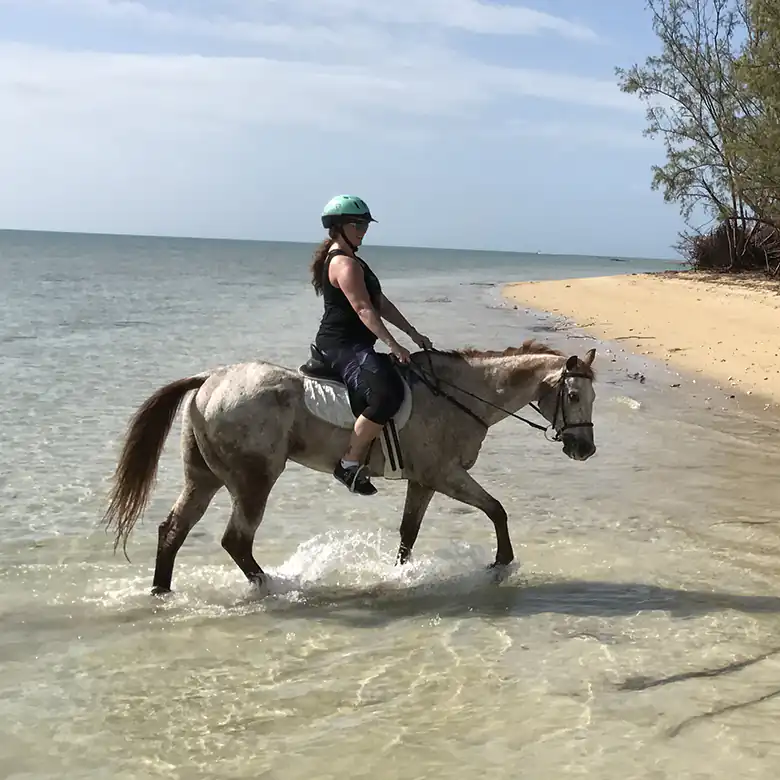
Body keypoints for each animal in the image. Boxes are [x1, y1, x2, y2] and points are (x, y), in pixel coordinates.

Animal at [101, 339, 597, 595]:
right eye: (573, 395)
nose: (585, 449)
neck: (457, 394)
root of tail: (211, 378)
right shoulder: (445, 475)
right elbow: (496, 509)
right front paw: (502, 565)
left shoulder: (423, 481)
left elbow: (409, 532)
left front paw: (399, 576)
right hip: (254, 479)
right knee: (235, 540)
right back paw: (275, 587)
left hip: (203, 478)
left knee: (173, 531)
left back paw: (162, 593)